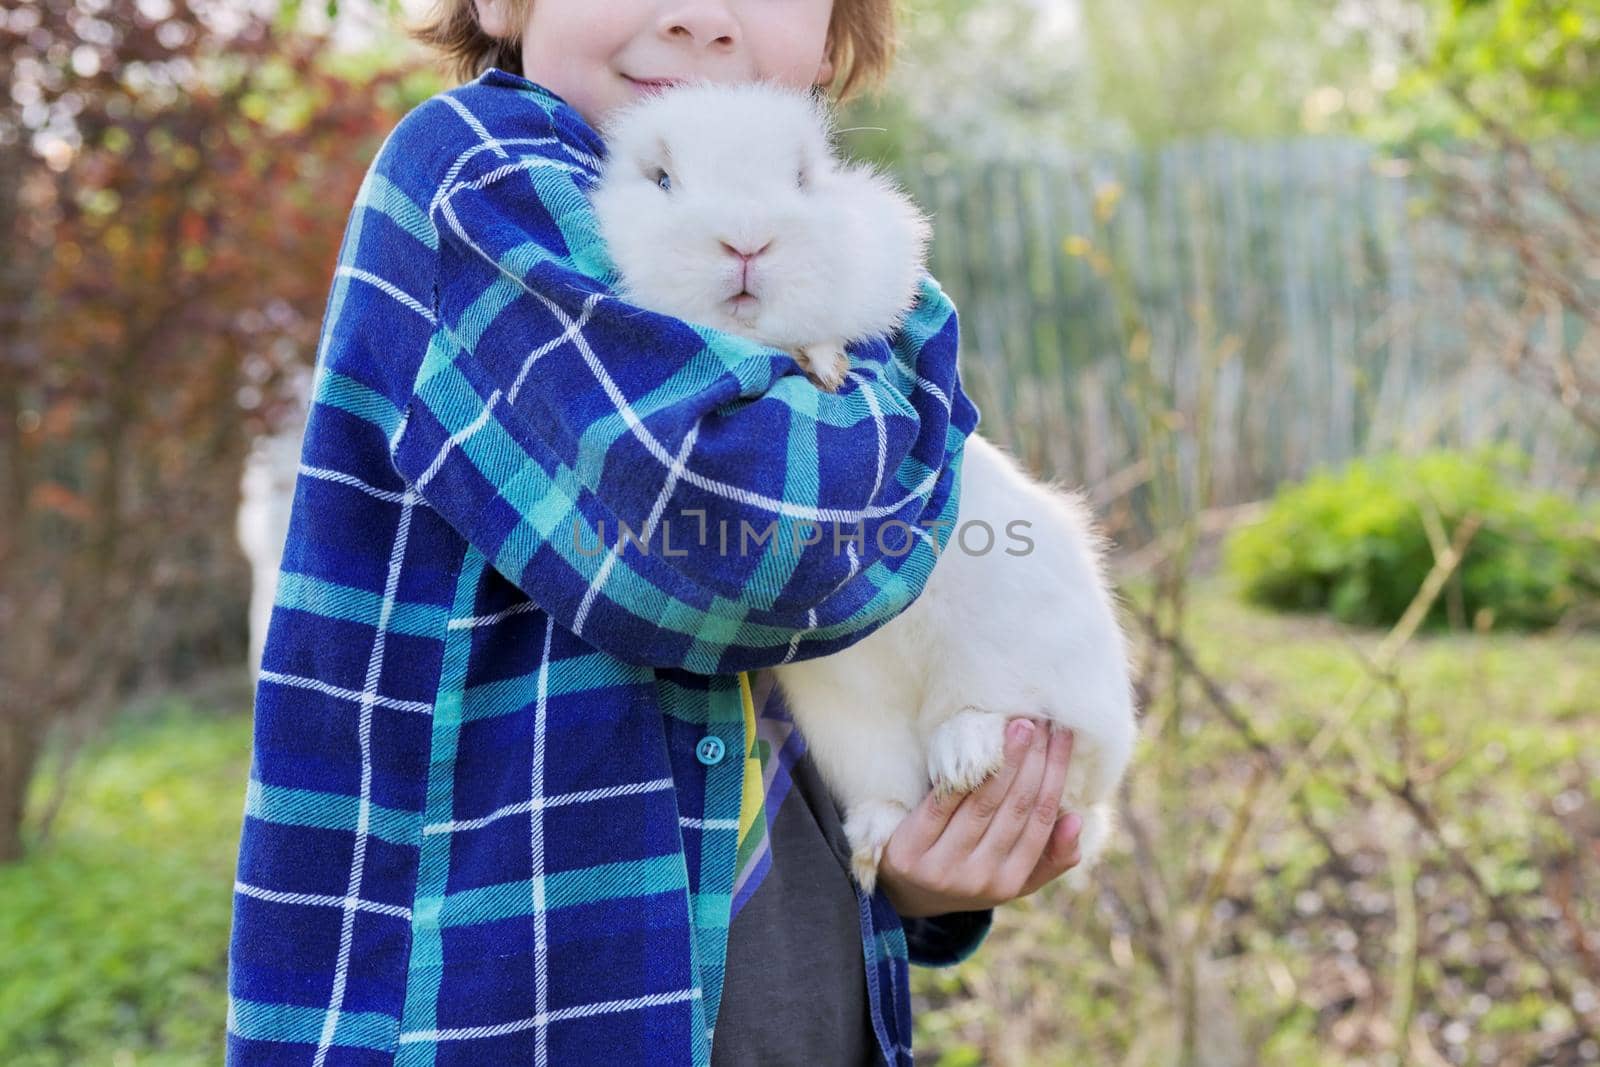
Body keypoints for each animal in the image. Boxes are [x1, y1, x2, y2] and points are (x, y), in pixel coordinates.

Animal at [588, 79, 1139, 889]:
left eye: (802, 180)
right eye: (661, 181)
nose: (745, 244)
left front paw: (827, 363)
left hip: (1030, 670)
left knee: (1014, 727)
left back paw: (967, 753)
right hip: (854, 728)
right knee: (894, 791)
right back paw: (876, 844)